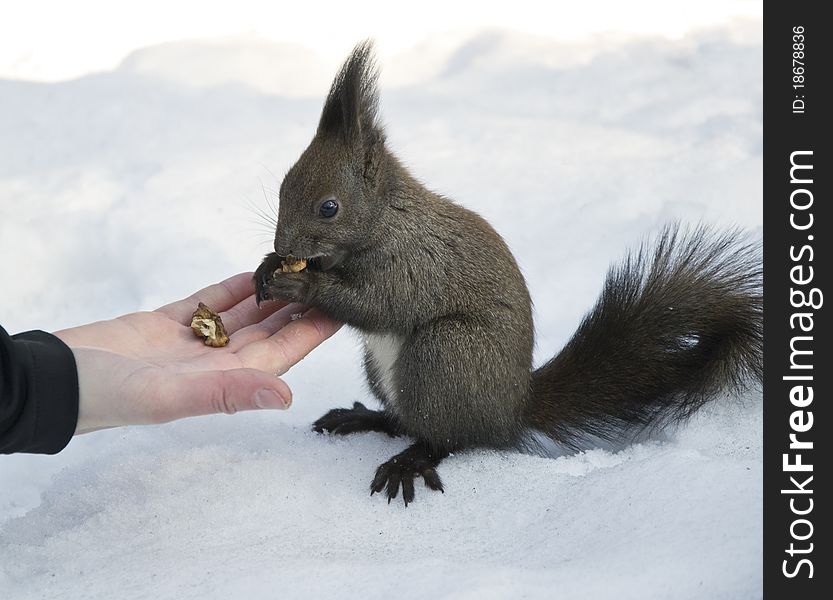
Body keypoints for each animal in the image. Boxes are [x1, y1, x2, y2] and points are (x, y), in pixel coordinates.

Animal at [252, 39, 760, 504]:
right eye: (283, 187)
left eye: (329, 207)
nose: (283, 247)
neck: (388, 219)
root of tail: (510, 412)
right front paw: (267, 268)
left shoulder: (413, 264)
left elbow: (378, 305)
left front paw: (303, 281)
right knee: (406, 421)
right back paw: (364, 418)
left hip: (446, 353)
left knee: (448, 439)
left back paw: (410, 461)